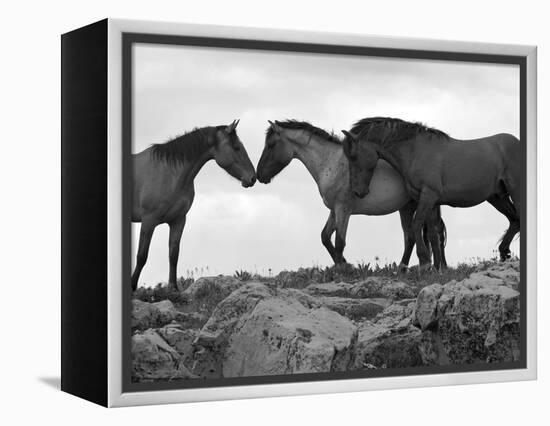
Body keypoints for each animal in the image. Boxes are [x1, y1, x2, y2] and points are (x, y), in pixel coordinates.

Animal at [133, 120, 258, 290]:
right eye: (236, 147)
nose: (253, 178)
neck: (169, 173)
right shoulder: (148, 221)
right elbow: (142, 256)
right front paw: (132, 286)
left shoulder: (178, 220)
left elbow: (174, 254)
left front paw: (173, 288)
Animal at [256, 118, 446, 268]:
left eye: (270, 145)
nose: (259, 174)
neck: (331, 163)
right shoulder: (334, 210)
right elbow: (325, 237)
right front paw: (343, 263)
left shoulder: (343, 209)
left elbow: (340, 241)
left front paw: (343, 268)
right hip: (408, 207)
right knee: (415, 236)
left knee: (428, 234)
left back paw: (430, 266)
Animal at [344, 116, 520, 270]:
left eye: (353, 156)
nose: (358, 191)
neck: (416, 151)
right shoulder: (430, 201)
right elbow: (433, 234)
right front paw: (436, 267)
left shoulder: (428, 196)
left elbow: (416, 225)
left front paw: (425, 262)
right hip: (497, 197)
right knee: (515, 220)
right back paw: (504, 252)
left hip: (515, 191)